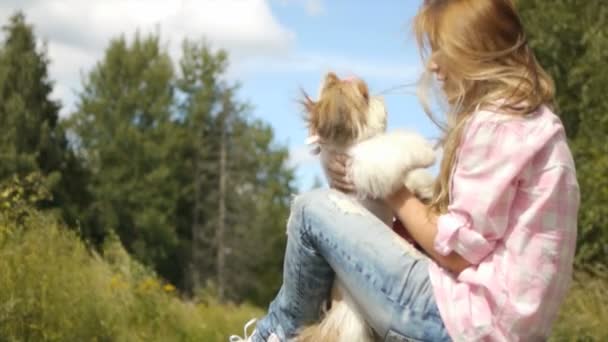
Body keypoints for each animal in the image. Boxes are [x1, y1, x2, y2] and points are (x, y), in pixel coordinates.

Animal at [296, 73, 434, 342]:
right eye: (366, 96)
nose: (381, 99)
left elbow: (408, 179)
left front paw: (425, 186)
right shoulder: (368, 162)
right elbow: (397, 147)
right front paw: (425, 152)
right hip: (352, 325)